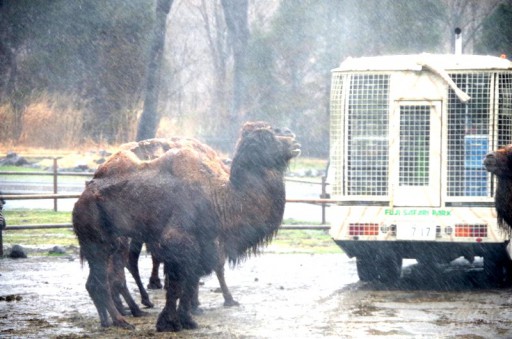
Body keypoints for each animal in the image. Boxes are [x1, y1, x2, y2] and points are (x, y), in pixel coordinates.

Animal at [72, 122, 300, 332]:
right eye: (268, 137)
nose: (294, 141)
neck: (219, 198)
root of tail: (81, 198)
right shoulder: (179, 243)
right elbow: (177, 286)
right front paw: (170, 323)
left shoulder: (201, 247)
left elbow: (188, 283)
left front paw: (186, 320)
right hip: (98, 243)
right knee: (102, 281)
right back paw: (123, 320)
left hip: (110, 244)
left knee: (99, 280)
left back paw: (112, 319)